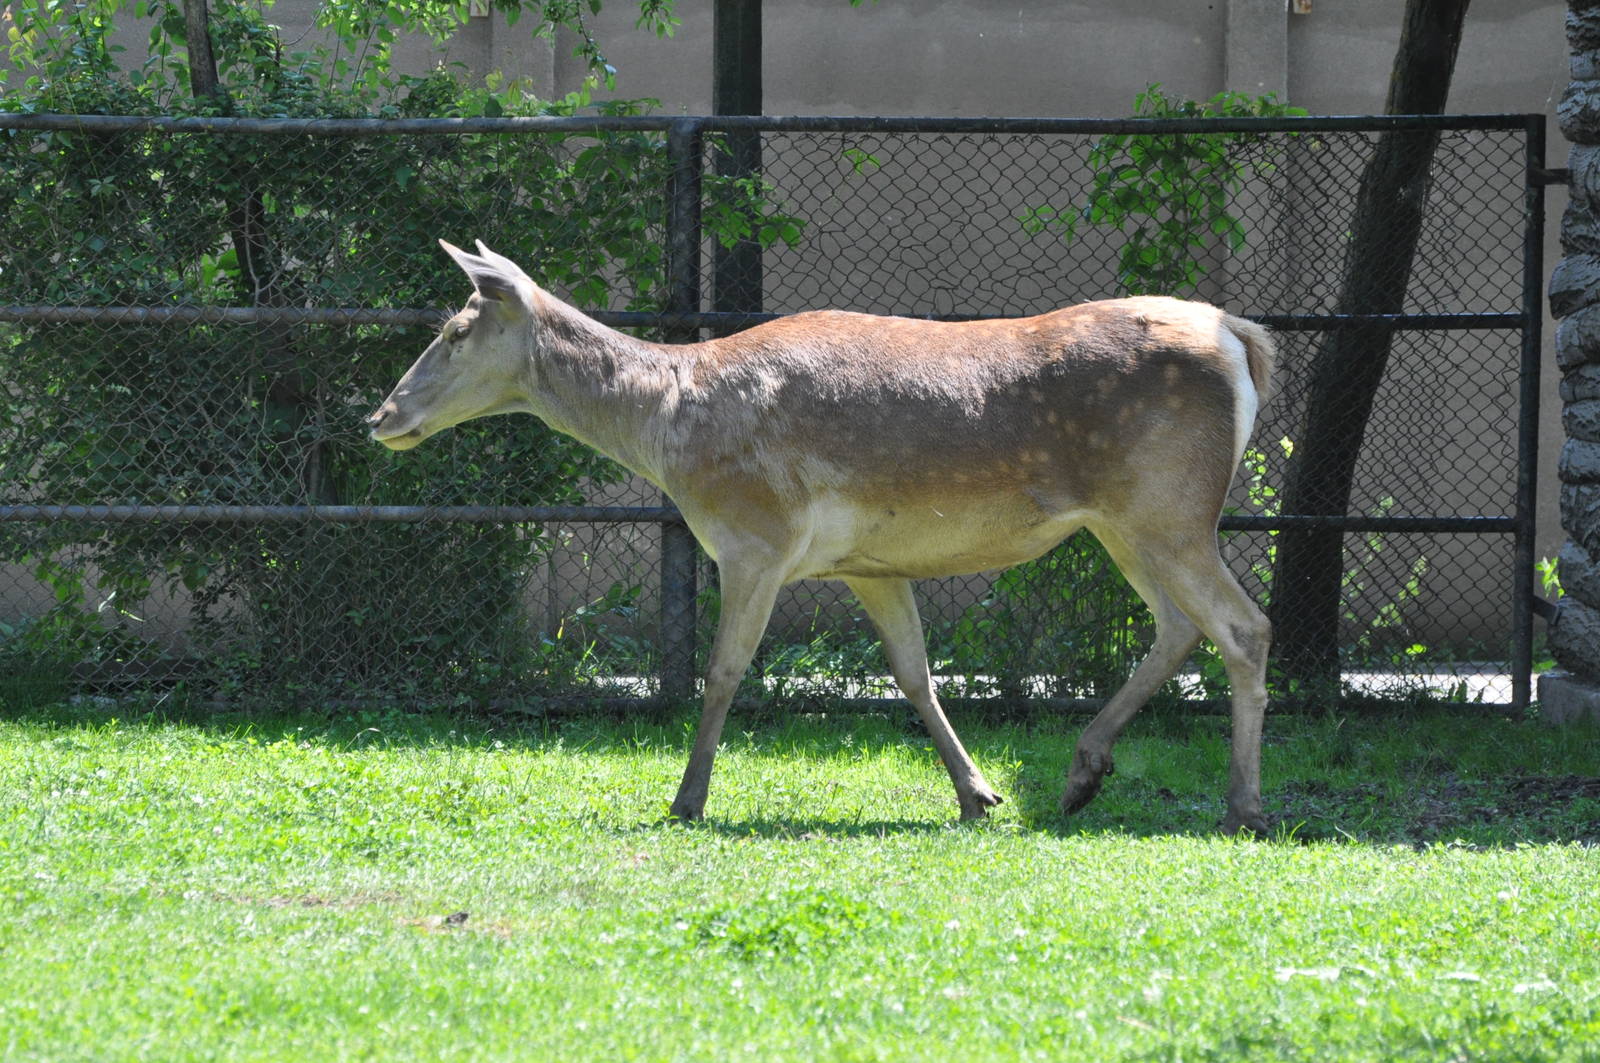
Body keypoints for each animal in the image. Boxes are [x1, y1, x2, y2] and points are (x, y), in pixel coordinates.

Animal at [368, 240, 1276, 834]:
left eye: (453, 329)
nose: (380, 415)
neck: (671, 430)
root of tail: (1243, 336)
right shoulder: (866, 562)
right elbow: (914, 674)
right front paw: (977, 794)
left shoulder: (754, 536)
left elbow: (723, 671)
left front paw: (686, 799)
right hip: (1127, 521)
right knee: (1179, 624)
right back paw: (1083, 774)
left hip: (1169, 506)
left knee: (1243, 625)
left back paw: (1245, 805)